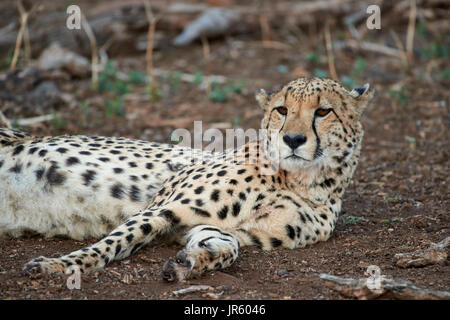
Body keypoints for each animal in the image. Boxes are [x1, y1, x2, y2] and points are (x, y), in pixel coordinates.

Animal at [0, 77, 372, 280]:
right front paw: (59, 266)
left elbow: (229, 245)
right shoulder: (158, 209)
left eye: (323, 111)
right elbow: (110, 244)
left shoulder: (207, 225)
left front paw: (191, 262)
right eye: (282, 110)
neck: (300, 180)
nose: (293, 140)